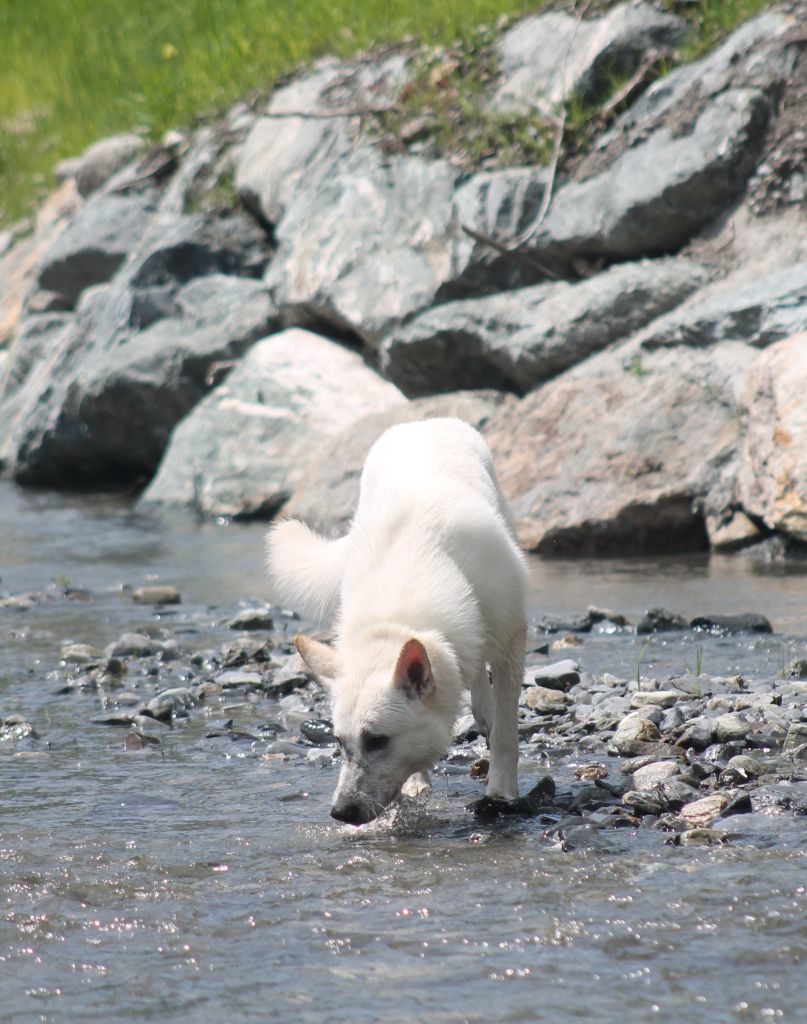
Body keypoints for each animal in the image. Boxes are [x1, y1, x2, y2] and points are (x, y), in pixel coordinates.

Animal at [266, 415, 528, 823]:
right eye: (339, 742)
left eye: (377, 741)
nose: (340, 813)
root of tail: (426, 420)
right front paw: (417, 782)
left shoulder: (511, 643)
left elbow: (505, 734)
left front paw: (501, 791)